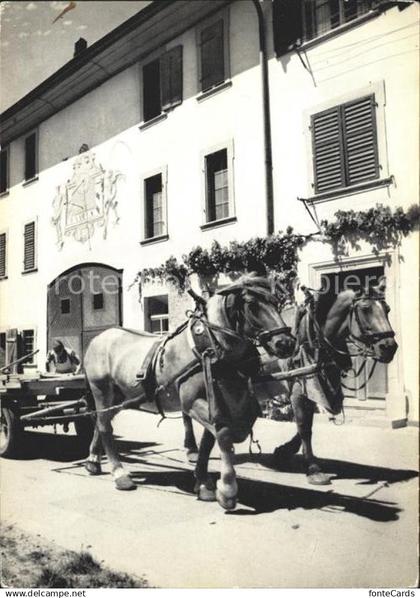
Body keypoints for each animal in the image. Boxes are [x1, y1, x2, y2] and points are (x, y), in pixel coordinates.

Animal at [83, 276, 296, 510]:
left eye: (275, 301)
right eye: (251, 304)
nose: (286, 343)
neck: (211, 346)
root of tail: (99, 338)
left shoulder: (216, 402)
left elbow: (208, 441)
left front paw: (202, 482)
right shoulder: (192, 402)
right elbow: (224, 435)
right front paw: (227, 489)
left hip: (122, 397)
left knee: (100, 421)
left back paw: (93, 460)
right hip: (101, 390)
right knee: (105, 426)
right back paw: (119, 473)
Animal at [272, 282, 398, 488]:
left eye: (387, 309)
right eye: (365, 309)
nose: (389, 347)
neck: (313, 336)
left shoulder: (316, 387)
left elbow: (305, 424)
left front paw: (283, 451)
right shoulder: (299, 388)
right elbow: (304, 427)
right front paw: (313, 469)